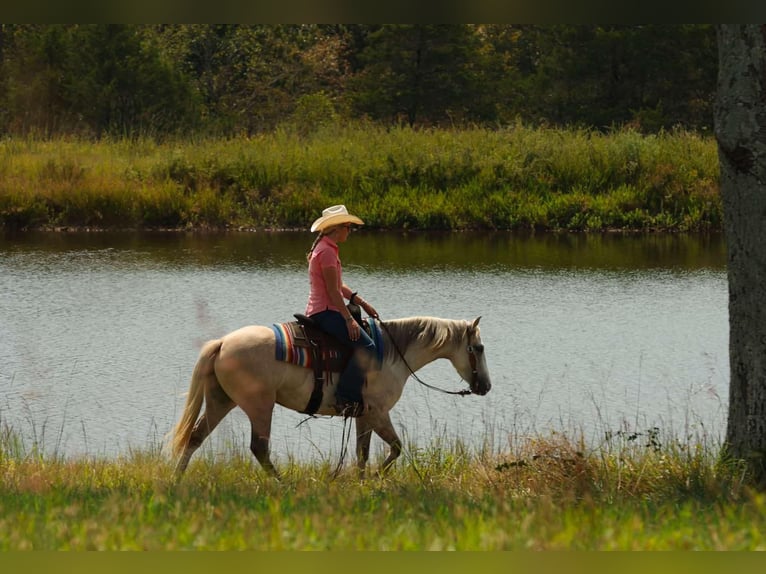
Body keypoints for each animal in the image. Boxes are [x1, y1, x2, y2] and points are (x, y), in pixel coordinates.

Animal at [168, 315, 491, 479]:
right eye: (479, 348)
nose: (485, 387)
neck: (392, 354)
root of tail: (223, 343)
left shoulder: (363, 416)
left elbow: (362, 452)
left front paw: (363, 483)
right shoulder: (378, 412)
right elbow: (397, 447)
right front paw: (377, 477)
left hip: (221, 400)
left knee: (195, 437)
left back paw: (177, 480)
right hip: (259, 406)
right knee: (259, 448)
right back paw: (283, 485)